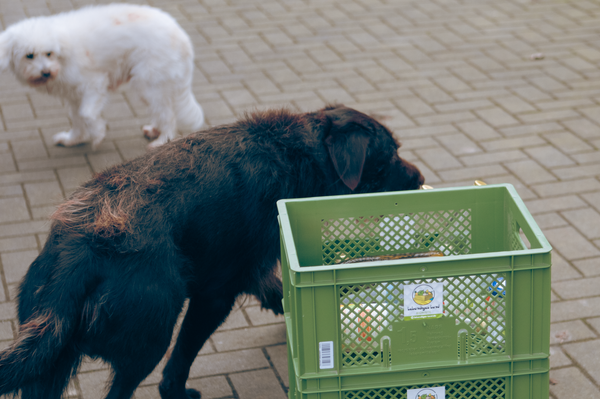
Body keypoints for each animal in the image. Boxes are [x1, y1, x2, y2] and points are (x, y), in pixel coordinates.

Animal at [0, 2, 204, 150]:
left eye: (48, 53)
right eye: (30, 55)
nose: (46, 72)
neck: (62, 55)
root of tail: (181, 35)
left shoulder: (94, 85)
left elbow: (87, 114)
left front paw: (97, 135)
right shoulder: (73, 97)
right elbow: (77, 119)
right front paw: (73, 139)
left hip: (148, 85)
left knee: (168, 115)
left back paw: (162, 141)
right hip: (152, 88)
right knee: (163, 111)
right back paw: (155, 131)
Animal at [0, 104, 424, 398]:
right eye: (389, 156)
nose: (420, 175)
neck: (296, 154)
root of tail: (80, 250)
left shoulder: (252, 271)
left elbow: (281, 292)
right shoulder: (214, 296)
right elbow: (180, 360)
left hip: (53, 364)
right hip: (148, 341)